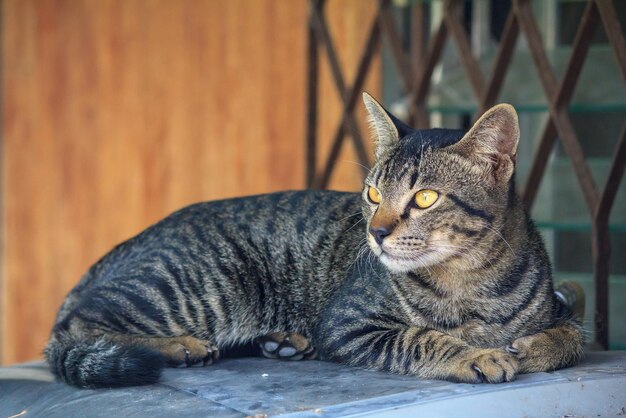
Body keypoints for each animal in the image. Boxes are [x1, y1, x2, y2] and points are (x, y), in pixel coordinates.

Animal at [45, 93, 584, 386]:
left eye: (426, 197)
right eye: (372, 193)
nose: (376, 231)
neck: (472, 284)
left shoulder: (559, 304)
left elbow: (572, 336)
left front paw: (532, 346)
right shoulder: (347, 322)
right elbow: (421, 337)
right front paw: (474, 354)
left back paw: (281, 342)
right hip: (200, 285)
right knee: (74, 326)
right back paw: (178, 346)